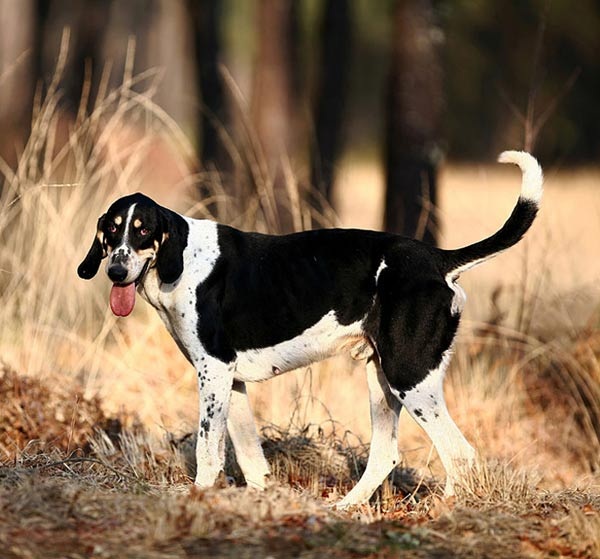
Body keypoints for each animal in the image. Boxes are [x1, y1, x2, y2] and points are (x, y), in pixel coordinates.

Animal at [77, 152, 540, 508]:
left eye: (143, 231)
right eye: (112, 229)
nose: (115, 271)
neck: (185, 258)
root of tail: (439, 260)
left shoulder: (214, 371)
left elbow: (209, 450)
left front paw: (199, 498)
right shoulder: (232, 382)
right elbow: (250, 457)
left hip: (410, 379)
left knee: (459, 453)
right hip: (381, 383)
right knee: (385, 456)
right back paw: (345, 509)